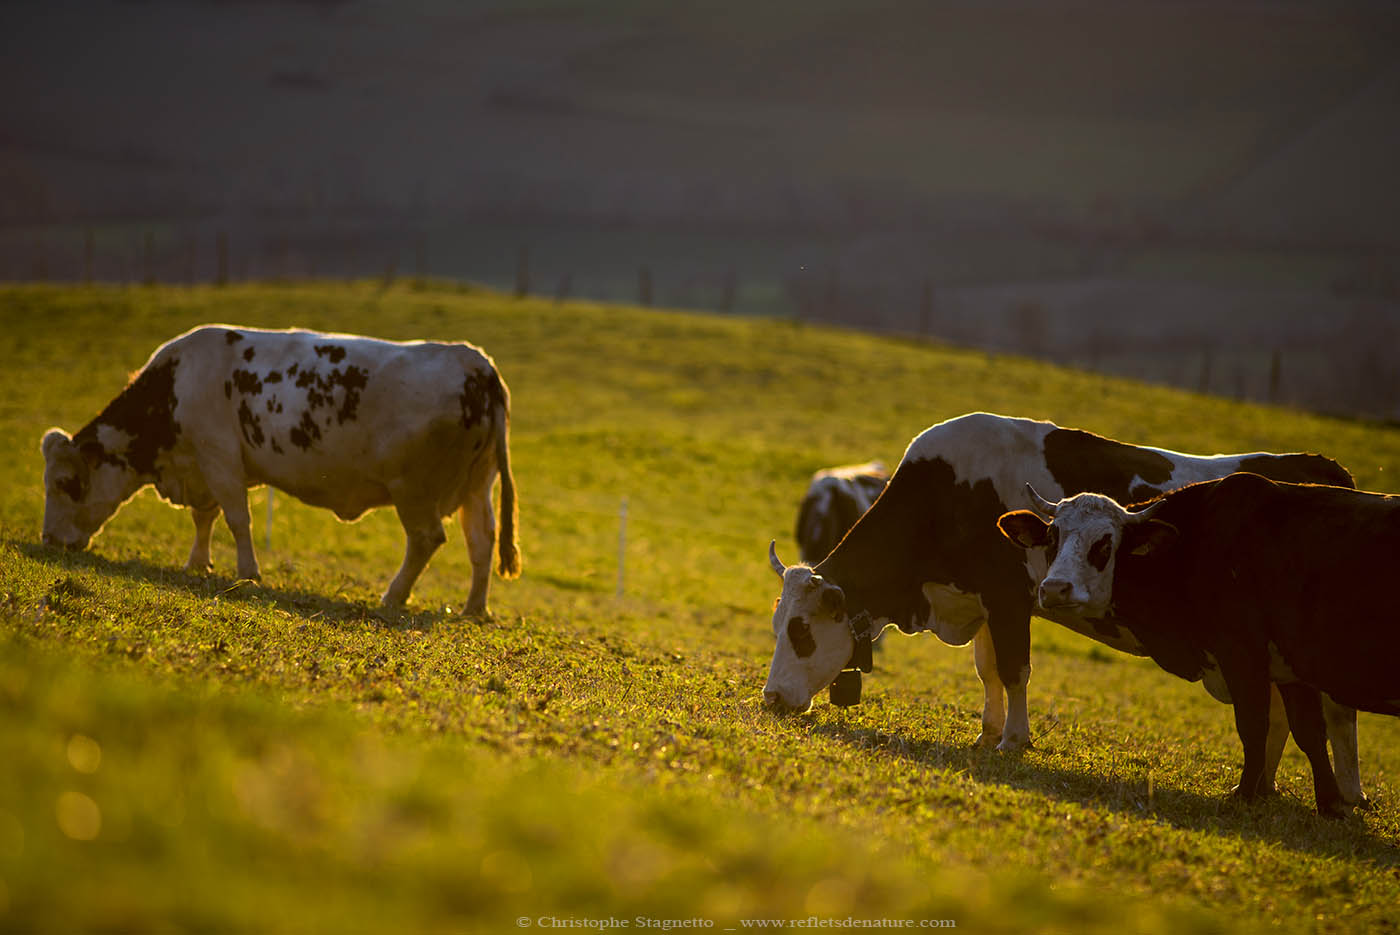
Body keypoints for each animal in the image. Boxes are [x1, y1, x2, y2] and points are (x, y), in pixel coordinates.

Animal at [42, 324, 520, 615]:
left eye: (66, 483)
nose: (49, 540)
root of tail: (474, 361)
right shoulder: (202, 465)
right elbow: (204, 517)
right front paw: (198, 562)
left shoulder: (219, 457)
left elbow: (236, 519)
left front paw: (247, 572)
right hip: (478, 486)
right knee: (481, 542)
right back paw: (474, 608)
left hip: (414, 489)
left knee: (426, 539)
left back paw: (393, 596)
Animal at [761, 411, 1360, 806]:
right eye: (777, 627)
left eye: (802, 631)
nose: (770, 699)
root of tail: (1322, 469)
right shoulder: (983, 602)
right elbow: (988, 672)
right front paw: (987, 732)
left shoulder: (1009, 600)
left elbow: (1014, 670)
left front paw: (1013, 739)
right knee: (1282, 714)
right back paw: (1267, 786)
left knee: (1333, 714)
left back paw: (1345, 796)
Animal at [996, 470, 1400, 811]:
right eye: (1052, 538)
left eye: (1105, 543)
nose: (1054, 588)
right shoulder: (1290, 669)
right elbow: (1310, 734)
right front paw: (1330, 805)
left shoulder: (1242, 654)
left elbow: (1254, 726)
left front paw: (1244, 794)